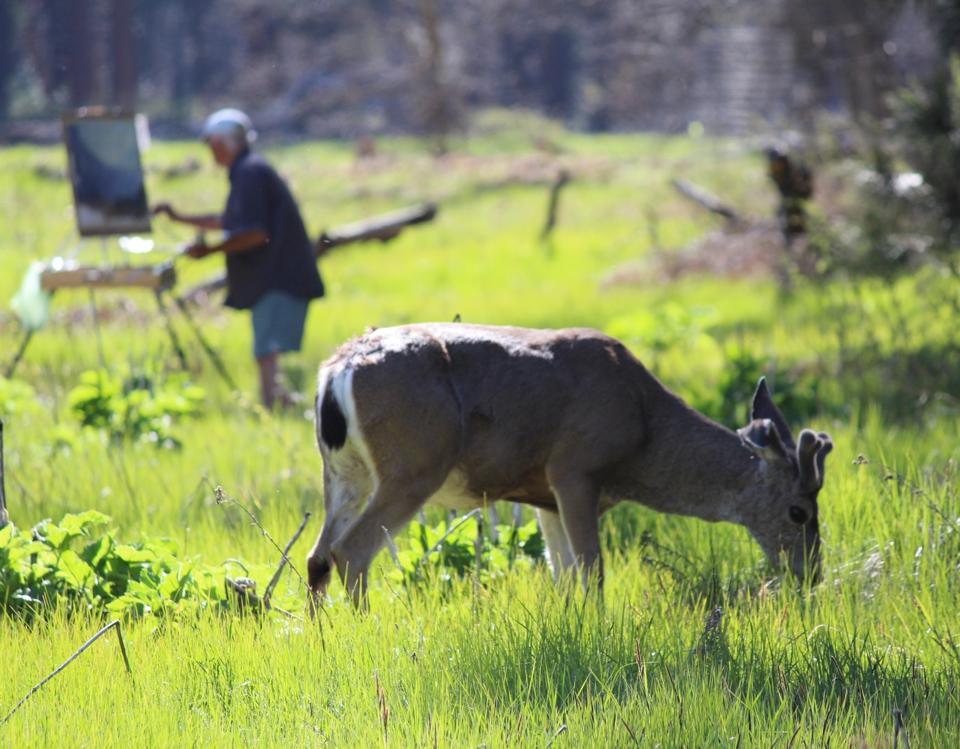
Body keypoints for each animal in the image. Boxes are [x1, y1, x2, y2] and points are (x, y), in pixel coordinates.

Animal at [310, 322, 832, 608]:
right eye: (799, 512)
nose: (812, 574)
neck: (644, 430)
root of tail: (336, 371)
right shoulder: (575, 469)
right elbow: (593, 573)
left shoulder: (544, 497)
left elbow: (563, 577)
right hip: (415, 463)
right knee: (350, 552)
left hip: (344, 472)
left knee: (318, 556)